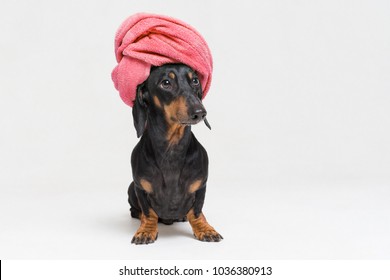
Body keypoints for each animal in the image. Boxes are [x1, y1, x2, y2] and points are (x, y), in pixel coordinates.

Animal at [128, 63, 222, 243]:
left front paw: (205, 229)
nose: (200, 112)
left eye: (195, 81)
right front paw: (146, 230)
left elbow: (197, 211)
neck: (172, 148)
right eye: (166, 83)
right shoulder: (139, 187)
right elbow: (149, 213)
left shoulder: (201, 186)